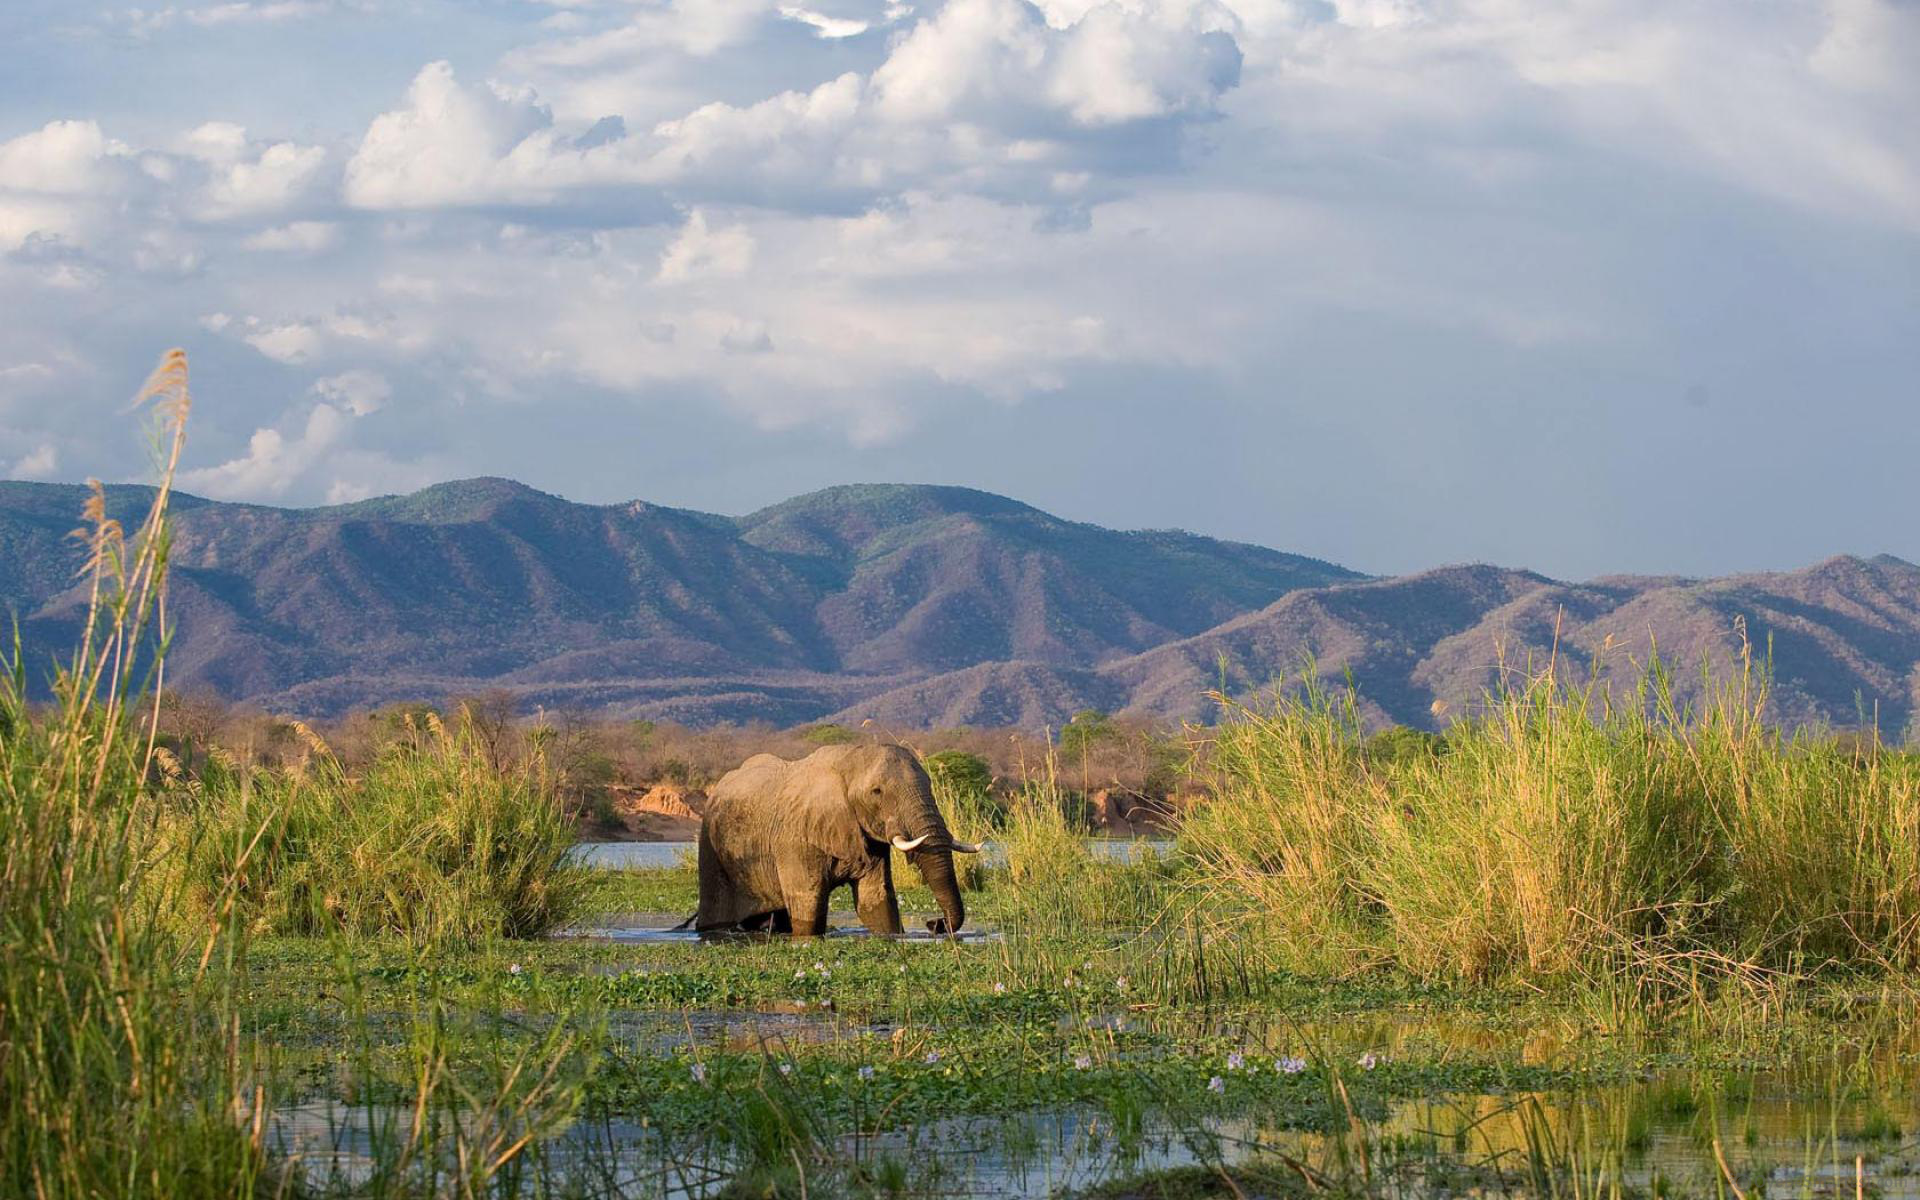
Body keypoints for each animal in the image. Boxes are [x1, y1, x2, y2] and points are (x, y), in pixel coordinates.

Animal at [698, 741, 983, 936]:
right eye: (877, 792)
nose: (933, 924)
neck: (848, 758)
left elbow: (876, 901)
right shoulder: (794, 838)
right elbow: (808, 905)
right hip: (710, 848)